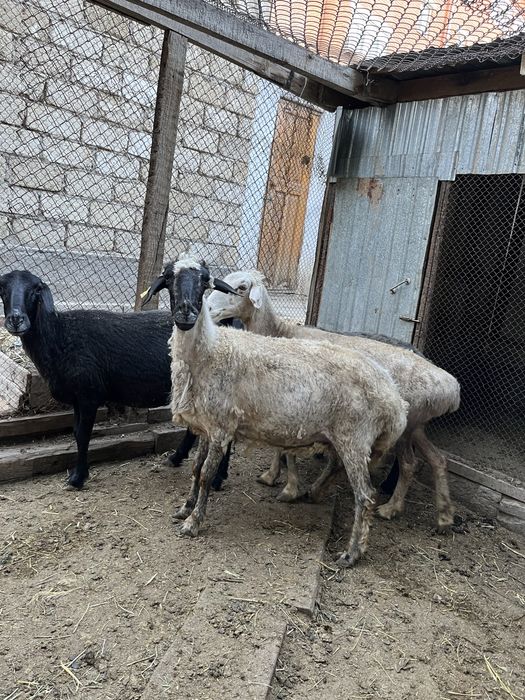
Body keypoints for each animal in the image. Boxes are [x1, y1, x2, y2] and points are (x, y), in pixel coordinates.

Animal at [0, 270, 232, 489]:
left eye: (36, 289)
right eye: (2, 289)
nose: (15, 319)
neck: (60, 336)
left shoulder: (89, 394)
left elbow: (82, 434)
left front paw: (78, 478)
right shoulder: (78, 397)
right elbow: (76, 432)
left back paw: (217, 478)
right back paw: (177, 458)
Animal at [143, 258, 408, 567]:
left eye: (205, 281)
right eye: (168, 279)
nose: (187, 312)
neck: (212, 349)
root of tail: (393, 397)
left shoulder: (222, 427)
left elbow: (207, 474)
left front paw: (193, 522)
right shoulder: (207, 426)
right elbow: (196, 469)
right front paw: (185, 508)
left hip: (354, 439)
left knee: (365, 496)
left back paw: (352, 553)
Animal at [207, 269, 461, 531]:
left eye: (242, 287)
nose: (207, 307)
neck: (281, 332)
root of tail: (452, 389)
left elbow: (287, 449)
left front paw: (289, 487)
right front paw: (272, 475)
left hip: (401, 426)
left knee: (409, 464)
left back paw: (389, 507)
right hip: (416, 425)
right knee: (436, 459)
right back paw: (444, 515)